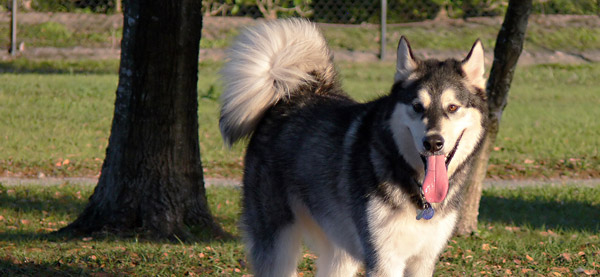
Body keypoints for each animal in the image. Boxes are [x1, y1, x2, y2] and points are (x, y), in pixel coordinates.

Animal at [219, 18, 488, 274]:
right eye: (417, 106)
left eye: (452, 107)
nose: (433, 142)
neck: (419, 194)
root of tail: (295, 94)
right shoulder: (384, 260)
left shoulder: (424, 260)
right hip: (278, 244)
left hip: (339, 250)